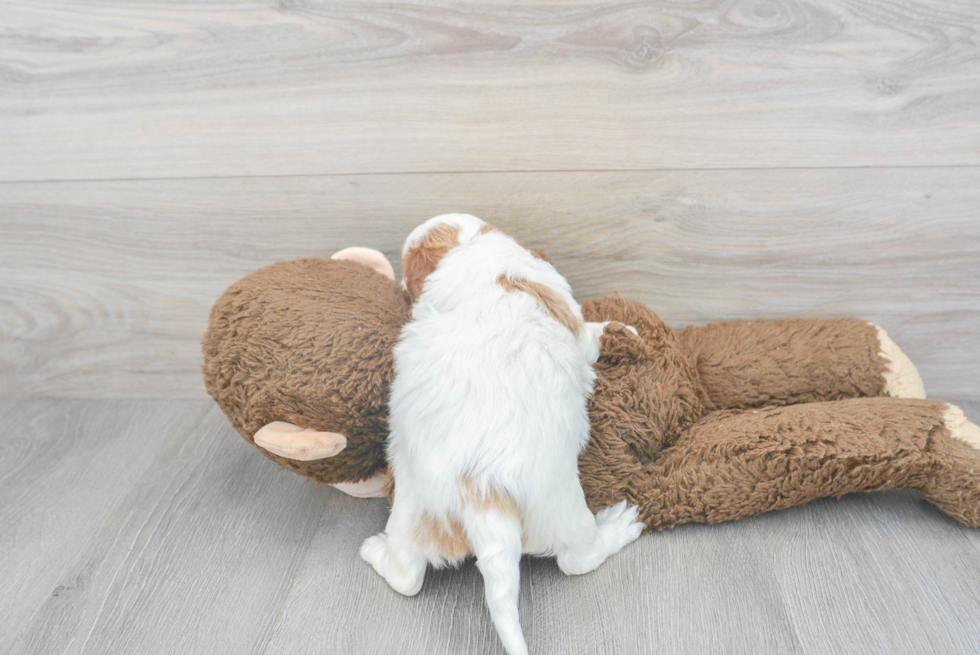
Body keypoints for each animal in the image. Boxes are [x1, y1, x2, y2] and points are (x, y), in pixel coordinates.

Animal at [360, 214, 644, 655]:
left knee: (407, 577)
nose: (402, 284)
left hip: (412, 508)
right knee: (578, 560)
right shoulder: (573, 323)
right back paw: (618, 526)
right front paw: (622, 328)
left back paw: (374, 552)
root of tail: (483, 490)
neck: (470, 244)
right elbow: (590, 335)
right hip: (565, 509)